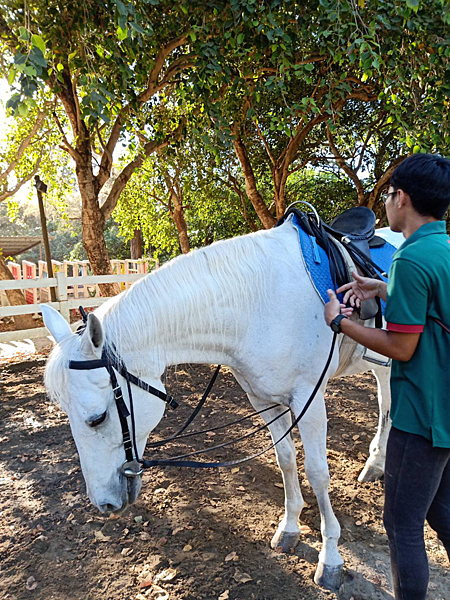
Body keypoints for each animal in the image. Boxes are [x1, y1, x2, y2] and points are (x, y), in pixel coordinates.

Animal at [41, 220, 400, 592]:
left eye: (97, 418)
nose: (104, 502)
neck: (258, 301)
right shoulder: (263, 399)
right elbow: (285, 460)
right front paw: (289, 528)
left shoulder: (309, 399)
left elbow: (317, 473)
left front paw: (330, 558)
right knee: (386, 400)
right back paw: (376, 462)